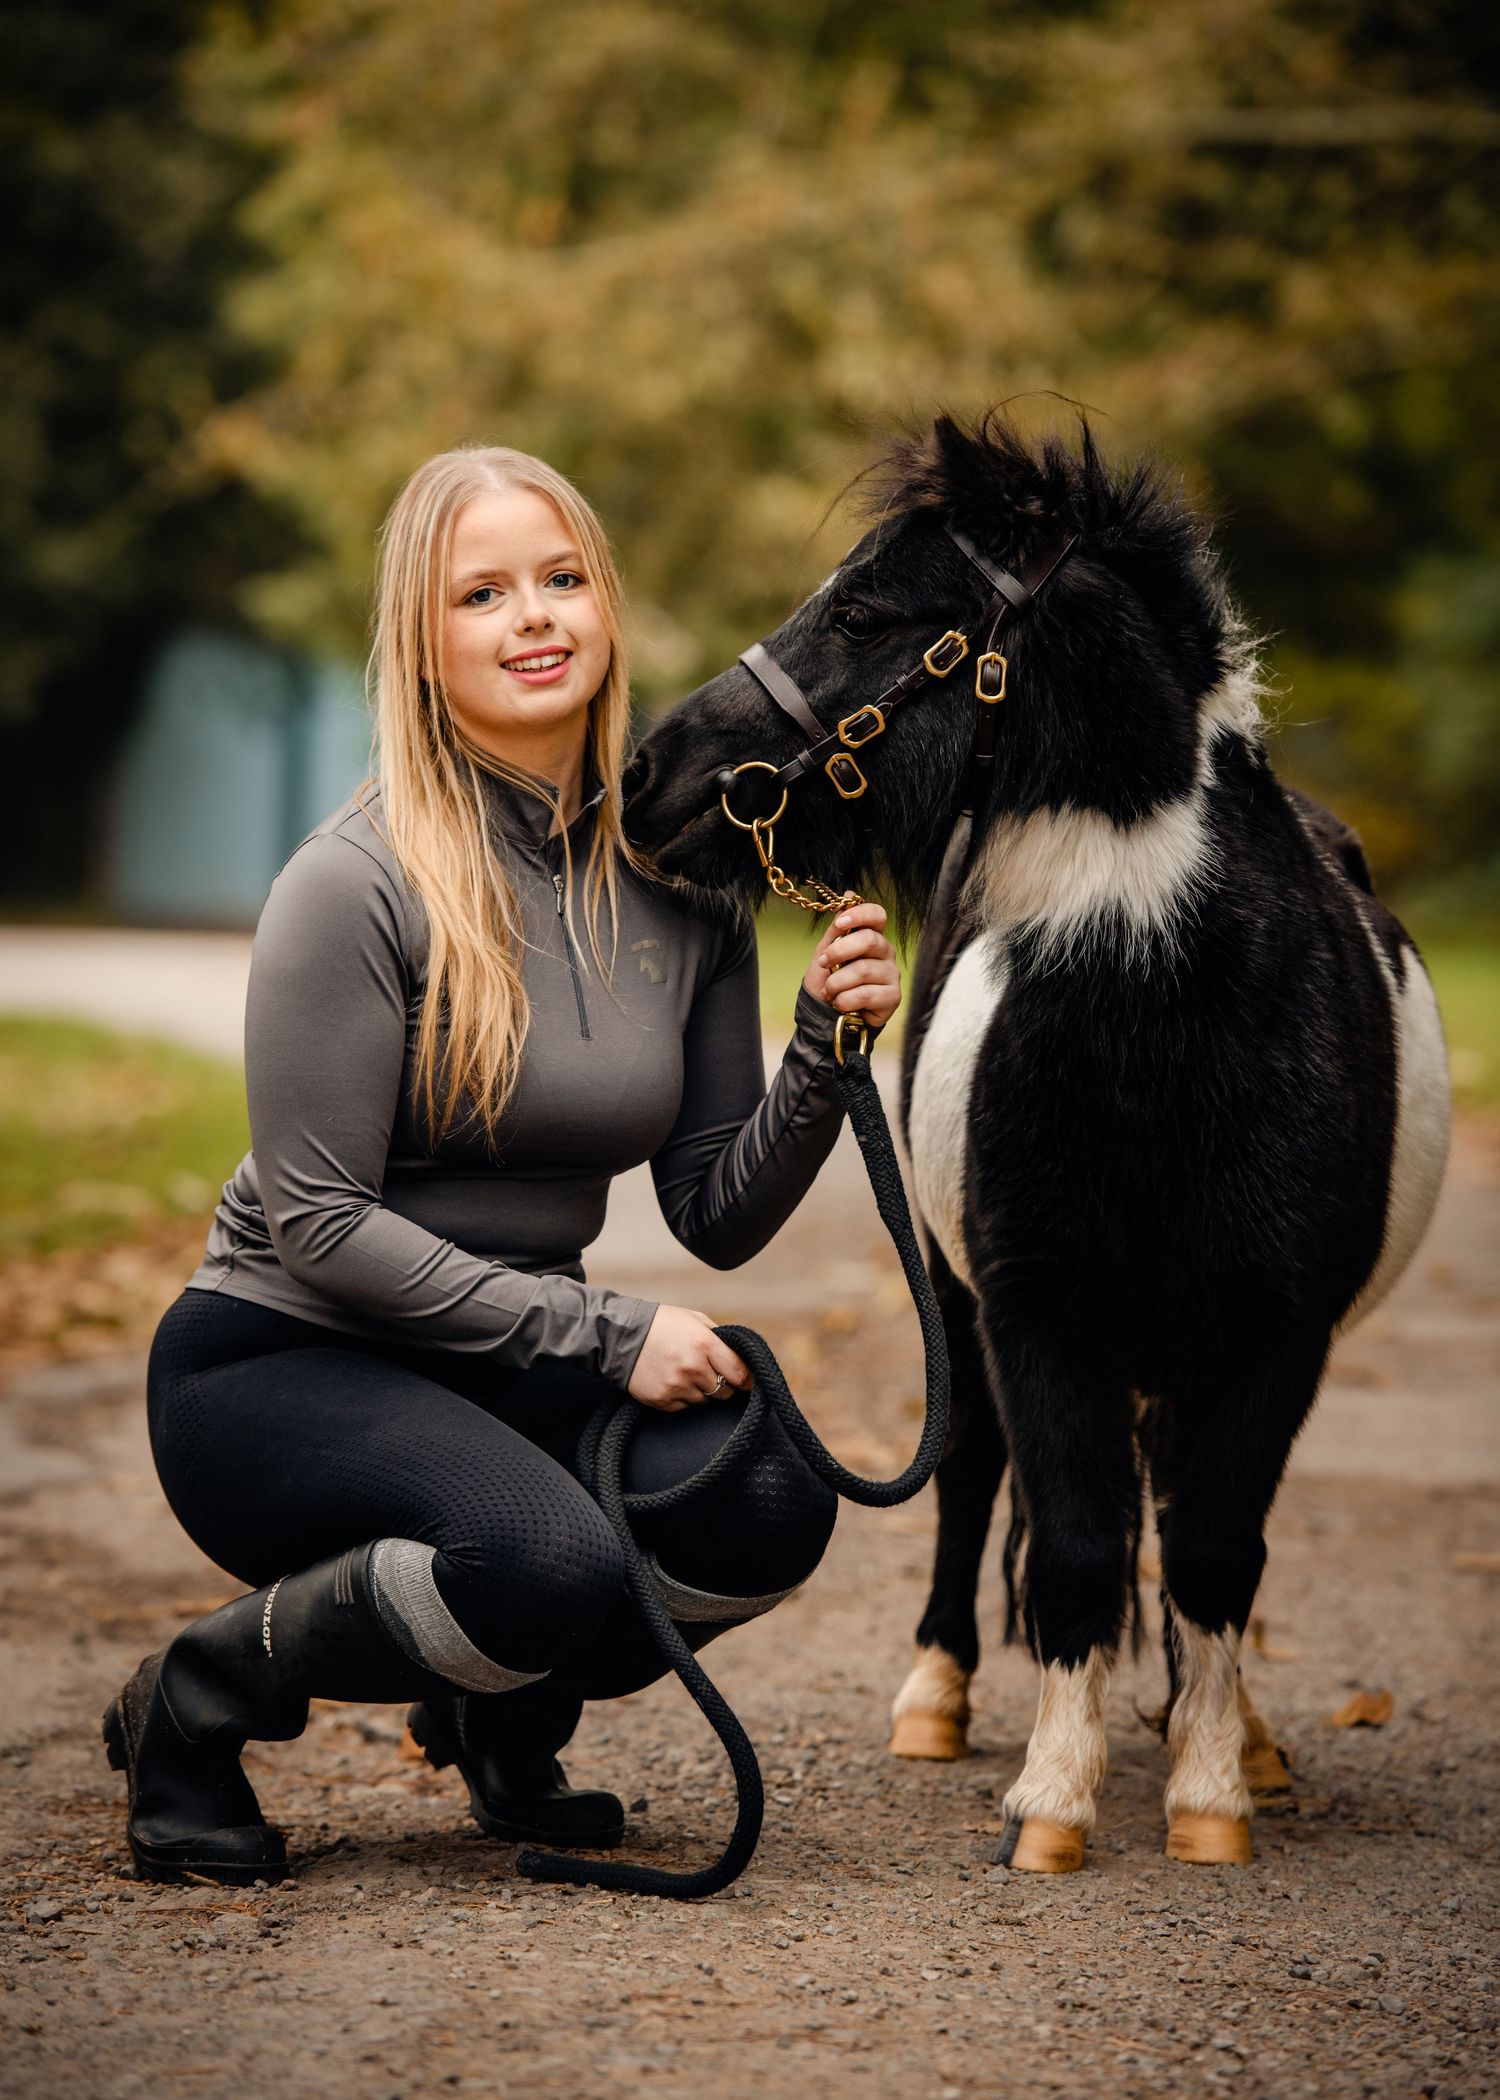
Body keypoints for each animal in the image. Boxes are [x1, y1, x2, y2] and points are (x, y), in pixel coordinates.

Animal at [621, 410, 1451, 1873]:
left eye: (866, 610)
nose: (648, 777)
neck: (1167, 1019)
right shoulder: (1034, 1314)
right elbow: (1066, 1543)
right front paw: (1054, 1806)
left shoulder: (1275, 1337)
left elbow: (1216, 1551)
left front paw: (1212, 1793)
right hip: (961, 1298)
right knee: (971, 1483)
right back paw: (939, 1703)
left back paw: (1234, 1731)